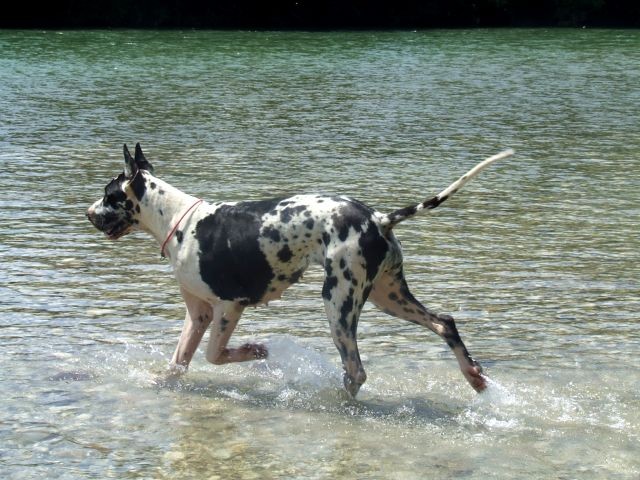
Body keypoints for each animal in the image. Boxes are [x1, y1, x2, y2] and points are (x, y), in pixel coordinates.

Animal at [87, 143, 512, 398]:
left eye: (109, 195)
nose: (88, 213)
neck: (179, 221)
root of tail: (377, 217)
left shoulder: (228, 308)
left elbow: (214, 355)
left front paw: (255, 351)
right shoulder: (199, 314)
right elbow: (178, 364)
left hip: (338, 305)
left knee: (356, 371)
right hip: (388, 297)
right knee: (445, 323)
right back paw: (473, 376)